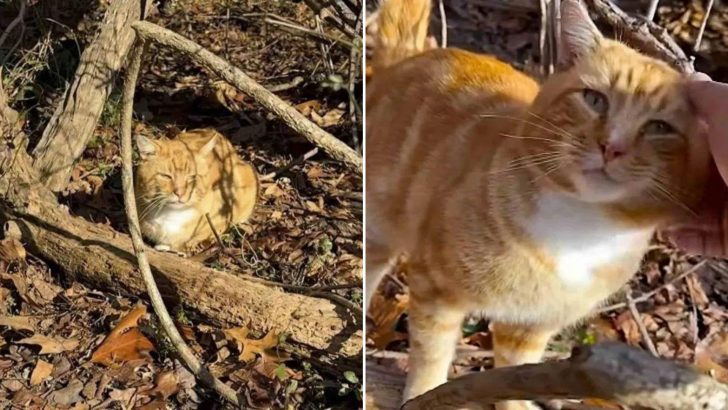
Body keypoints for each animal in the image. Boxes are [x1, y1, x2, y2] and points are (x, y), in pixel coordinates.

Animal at [366, 0, 708, 410]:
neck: (580, 228)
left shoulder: (530, 328)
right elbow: (431, 351)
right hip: (379, 228)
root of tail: (409, 58)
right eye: (595, 99)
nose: (611, 147)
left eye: (659, 128)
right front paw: (422, 392)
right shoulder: (434, 286)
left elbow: (515, 375)